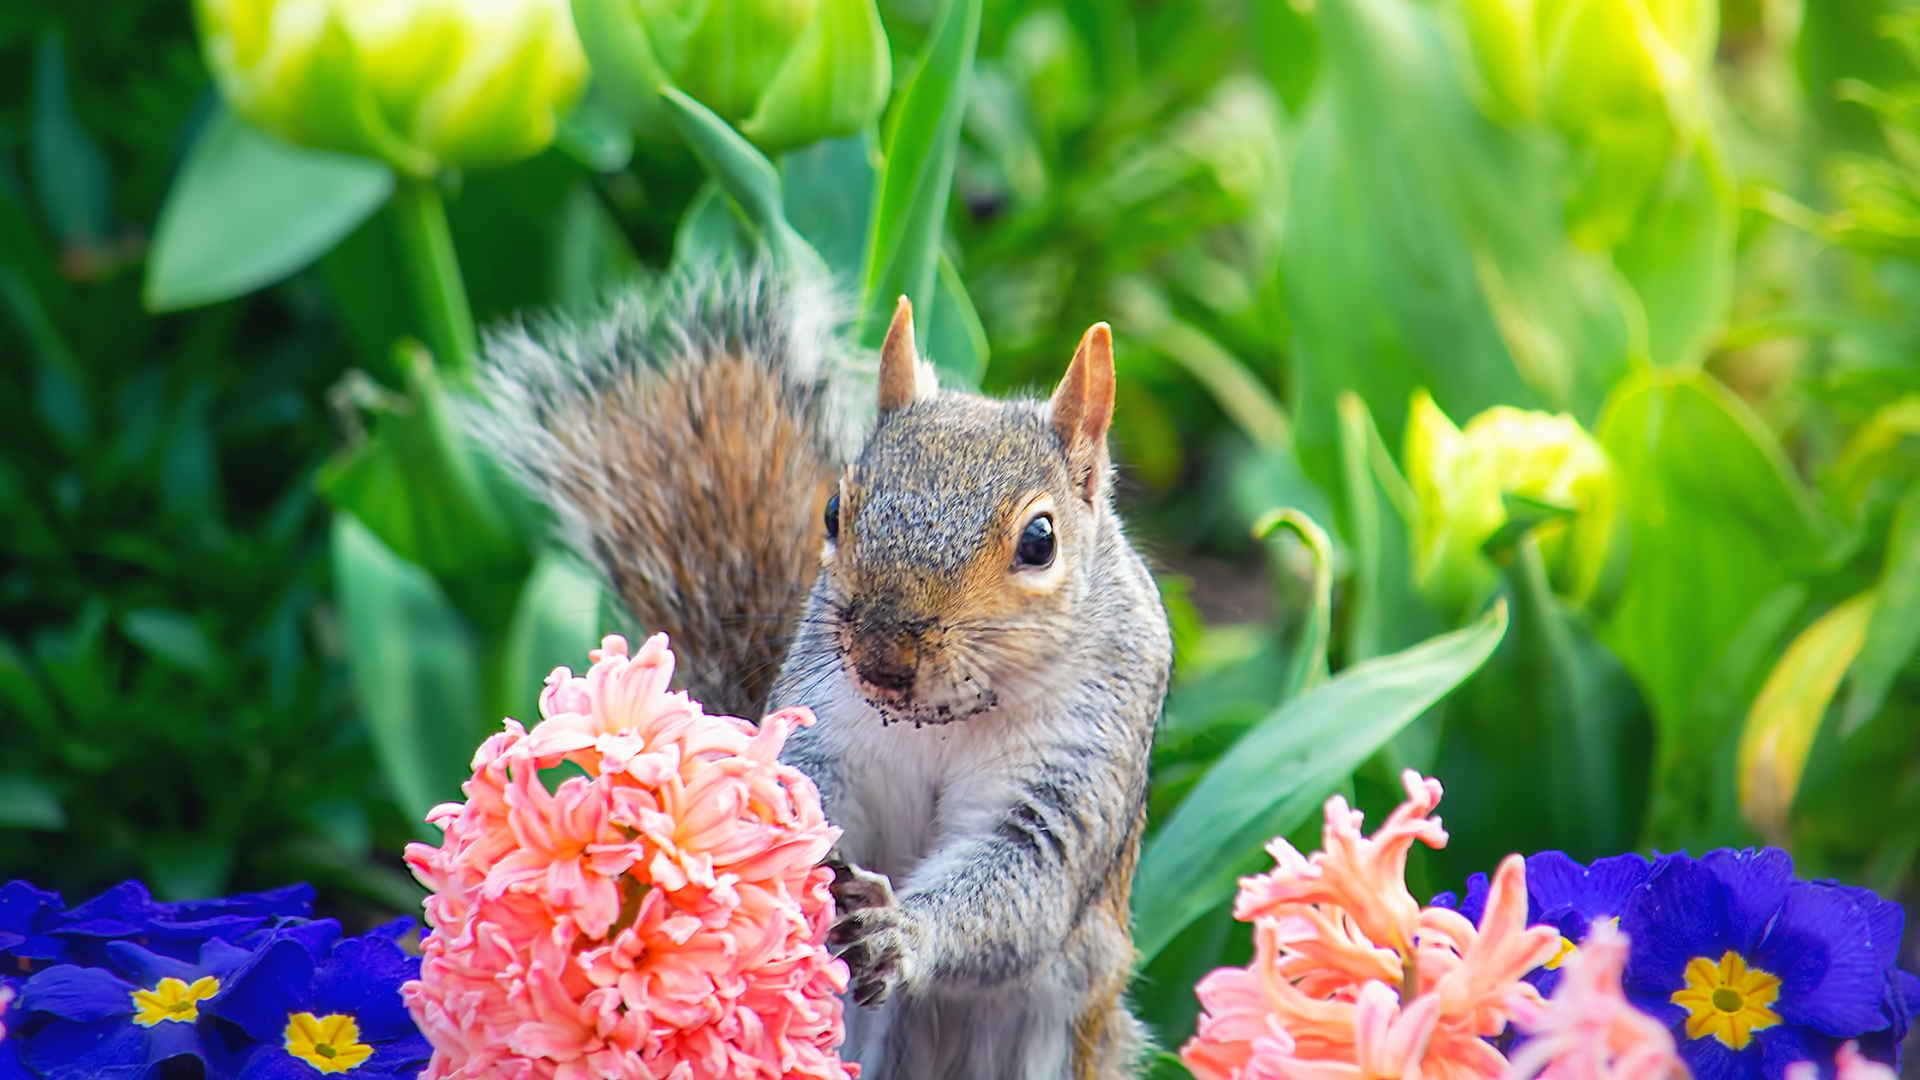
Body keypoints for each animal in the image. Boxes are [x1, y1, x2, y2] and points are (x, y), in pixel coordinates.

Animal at [472, 265, 1175, 1076]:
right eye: (835, 510)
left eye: (1040, 541)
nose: (883, 656)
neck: (946, 719)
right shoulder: (826, 722)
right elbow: (805, 797)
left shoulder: (1077, 763)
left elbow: (1029, 876)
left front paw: (902, 933)